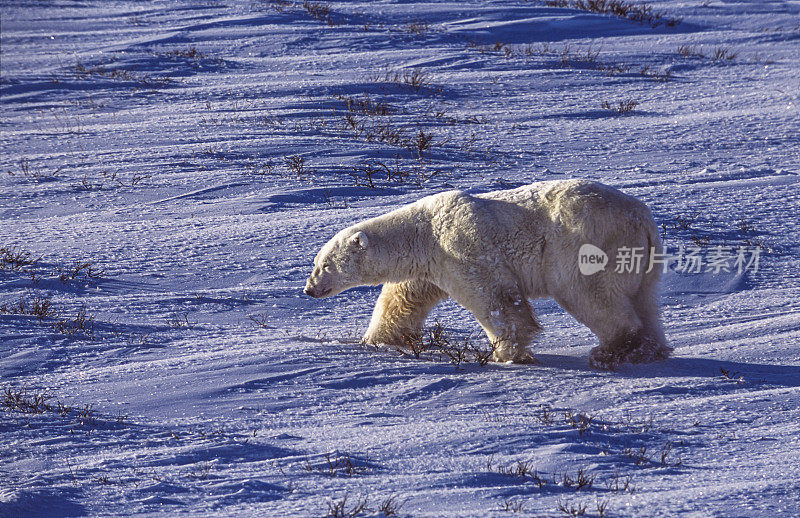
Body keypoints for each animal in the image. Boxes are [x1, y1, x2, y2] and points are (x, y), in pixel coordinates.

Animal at [304, 181, 668, 372]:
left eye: (324, 265)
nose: (308, 290)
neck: (422, 232)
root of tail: (643, 220)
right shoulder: (429, 267)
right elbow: (403, 300)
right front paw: (376, 340)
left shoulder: (459, 247)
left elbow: (495, 298)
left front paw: (507, 354)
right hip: (644, 263)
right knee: (646, 302)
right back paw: (650, 349)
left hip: (587, 243)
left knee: (588, 294)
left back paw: (611, 351)